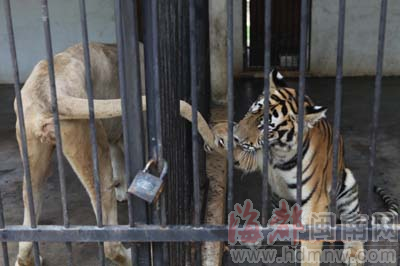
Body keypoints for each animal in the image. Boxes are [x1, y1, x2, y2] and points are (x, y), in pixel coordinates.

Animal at [205, 69, 398, 264]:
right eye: (252, 110)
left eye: (266, 126)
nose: (236, 137)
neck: (278, 152)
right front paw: (220, 131)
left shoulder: (315, 204)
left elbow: (311, 246)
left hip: (347, 186)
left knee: (353, 226)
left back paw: (353, 253)